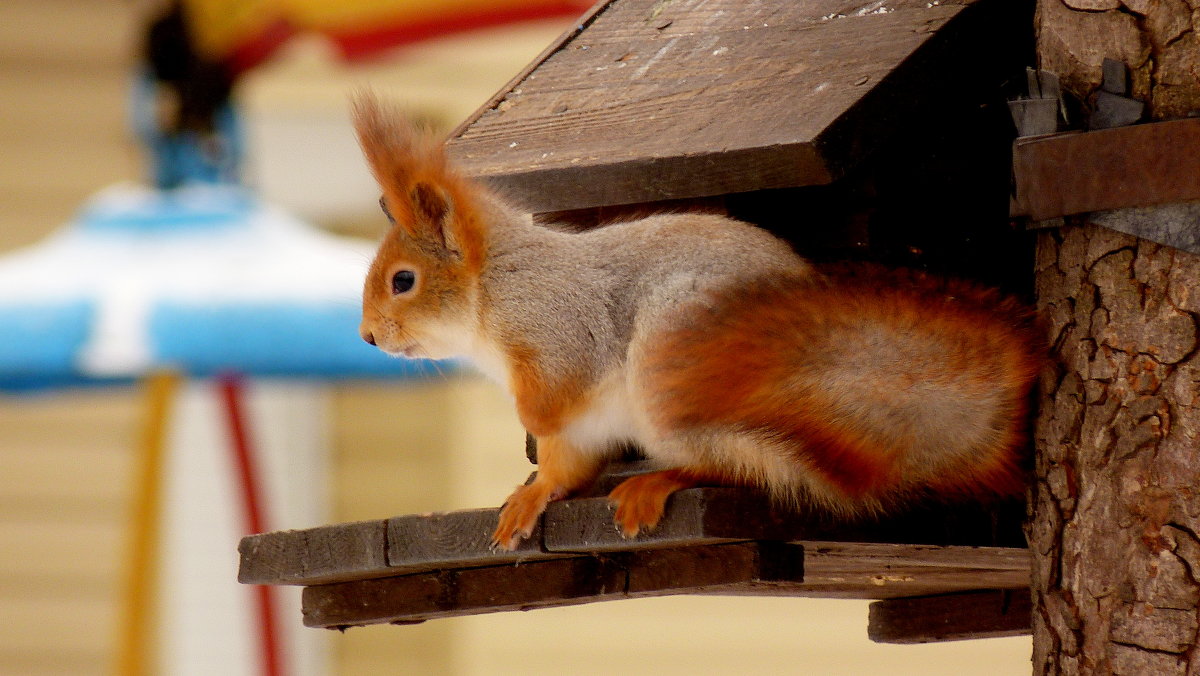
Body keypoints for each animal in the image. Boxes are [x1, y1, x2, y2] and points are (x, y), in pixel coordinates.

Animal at [350, 93, 1046, 549]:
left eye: (403, 281)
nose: (368, 337)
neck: (493, 293)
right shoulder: (580, 431)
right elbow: (562, 466)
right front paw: (531, 495)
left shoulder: (557, 321)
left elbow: (557, 395)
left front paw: (530, 422)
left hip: (669, 371)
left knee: (730, 467)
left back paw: (655, 482)